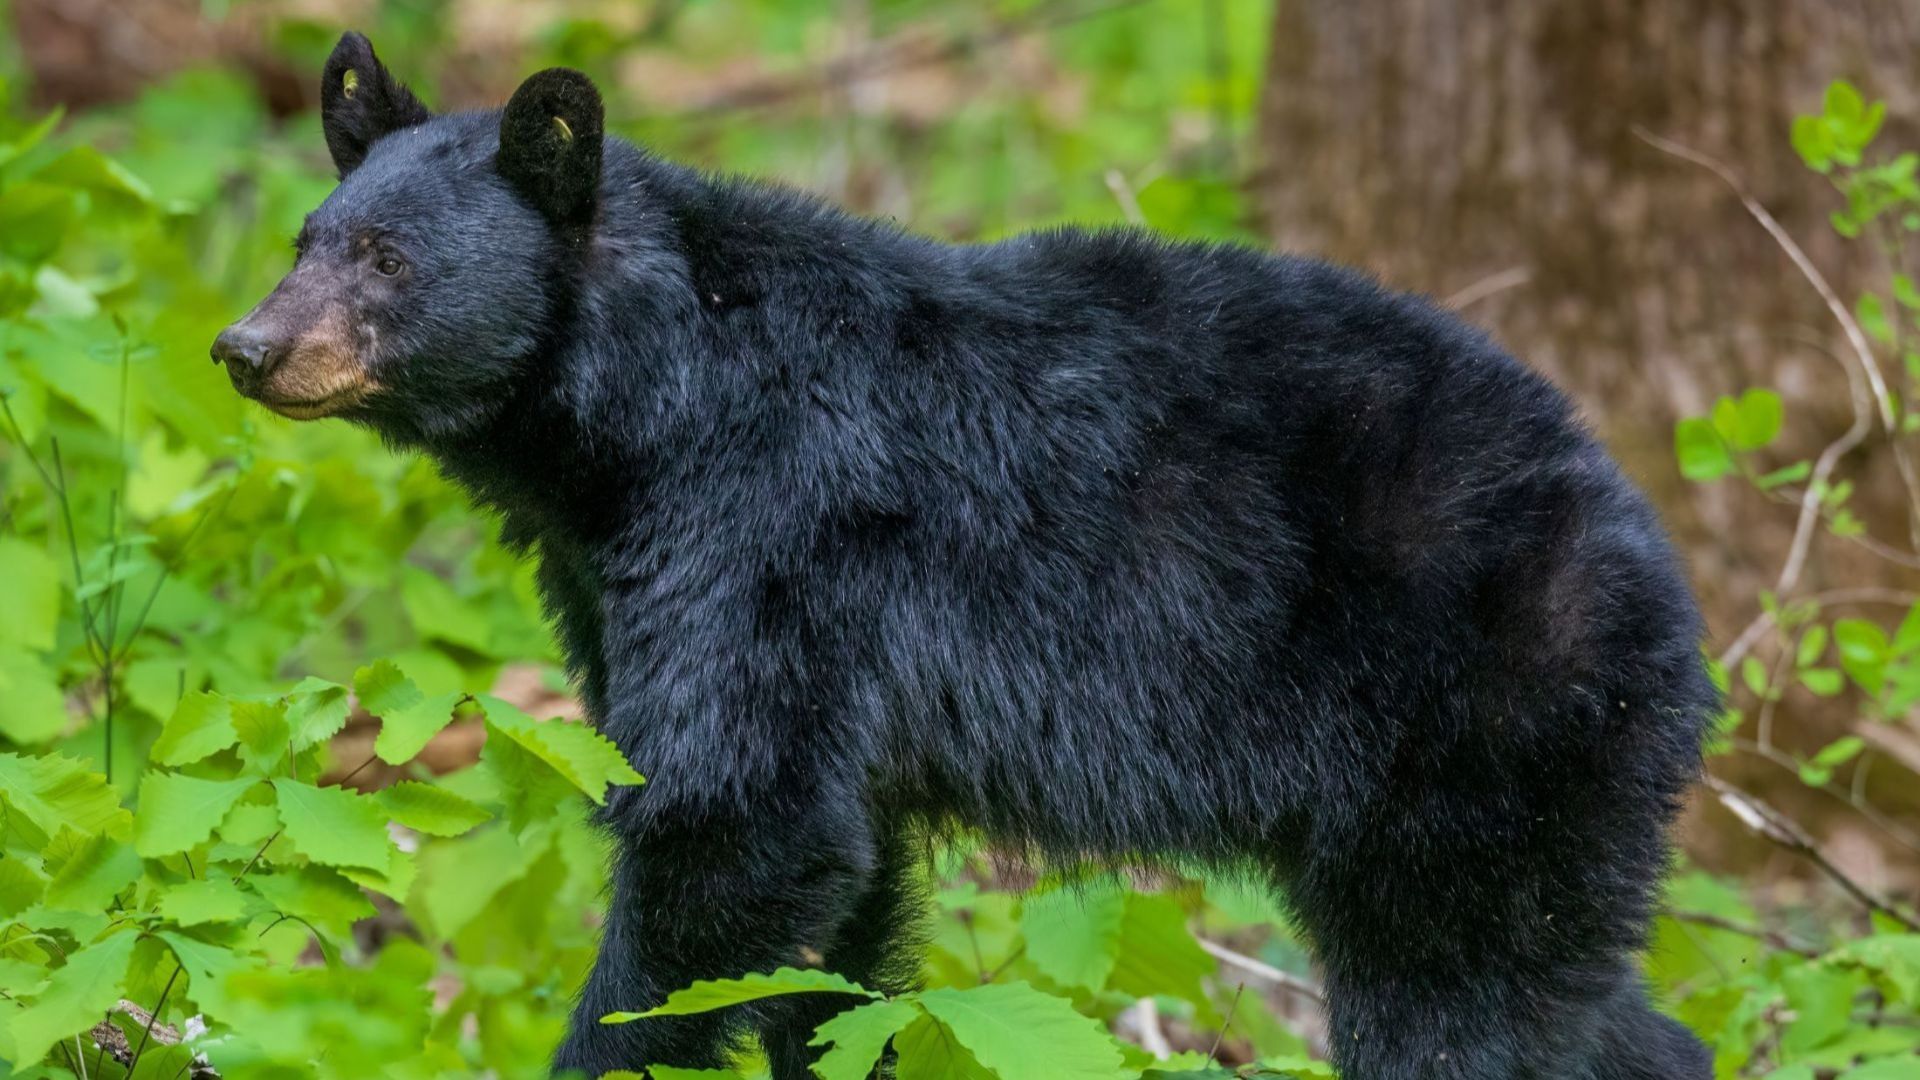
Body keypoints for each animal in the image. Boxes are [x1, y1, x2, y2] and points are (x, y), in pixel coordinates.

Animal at [211, 32, 1717, 1080]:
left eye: (387, 258)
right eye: (305, 237)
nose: (246, 346)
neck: (645, 406)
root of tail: (1646, 546)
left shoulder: (764, 535)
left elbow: (735, 822)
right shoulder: (629, 580)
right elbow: (834, 916)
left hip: (1485, 723)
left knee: (1461, 1000)